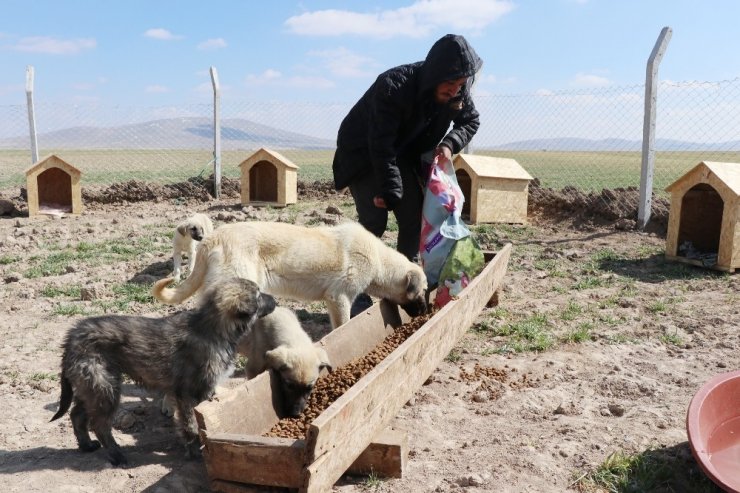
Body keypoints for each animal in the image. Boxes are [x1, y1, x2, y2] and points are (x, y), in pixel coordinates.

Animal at [49, 276, 276, 466]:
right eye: (258, 295)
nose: (275, 300)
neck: (213, 328)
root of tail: (71, 339)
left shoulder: (203, 391)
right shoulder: (187, 394)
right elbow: (191, 425)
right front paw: (195, 452)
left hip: (91, 386)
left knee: (77, 414)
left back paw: (86, 445)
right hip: (104, 387)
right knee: (99, 424)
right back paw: (116, 455)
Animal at [151, 221, 428, 328]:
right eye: (423, 291)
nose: (427, 312)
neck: (379, 261)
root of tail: (213, 238)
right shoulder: (339, 299)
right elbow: (342, 327)